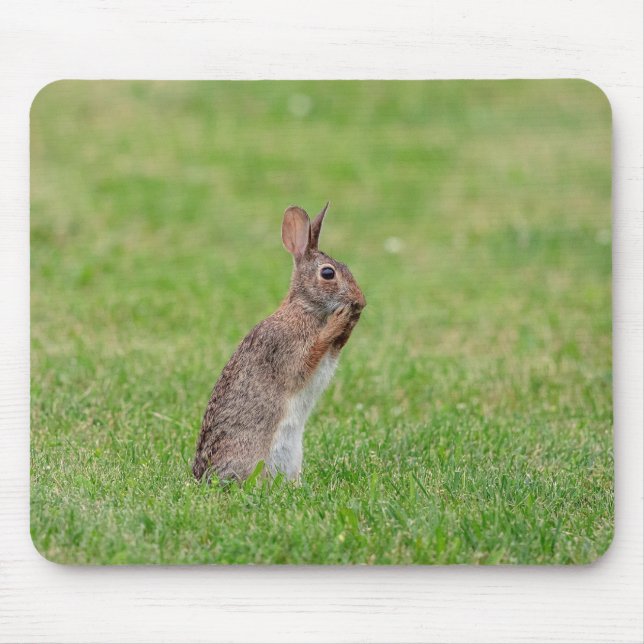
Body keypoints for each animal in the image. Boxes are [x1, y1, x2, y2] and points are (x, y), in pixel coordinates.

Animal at [193, 203, 366, 483]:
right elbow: (310, 357)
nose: (361, 301)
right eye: (328, 273)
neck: (304, 308)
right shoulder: (287, 349)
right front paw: (340, 318)